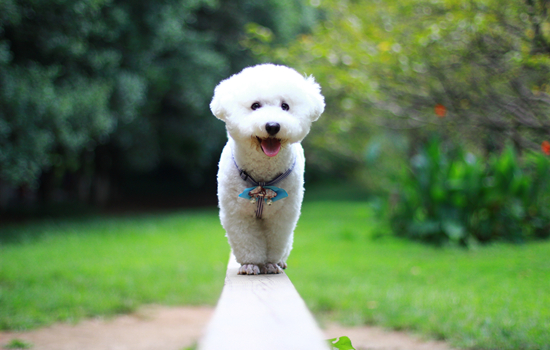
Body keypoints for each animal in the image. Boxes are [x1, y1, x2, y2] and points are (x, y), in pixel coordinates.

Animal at [210, 64, 324, 274]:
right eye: (255, 106)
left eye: (285, 106)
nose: (272, 126)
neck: (262, 180)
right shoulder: (237, 215)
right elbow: (246, 240)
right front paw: (250, 264)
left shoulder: (283, 216)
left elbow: (276, 240)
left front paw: (271, 263)